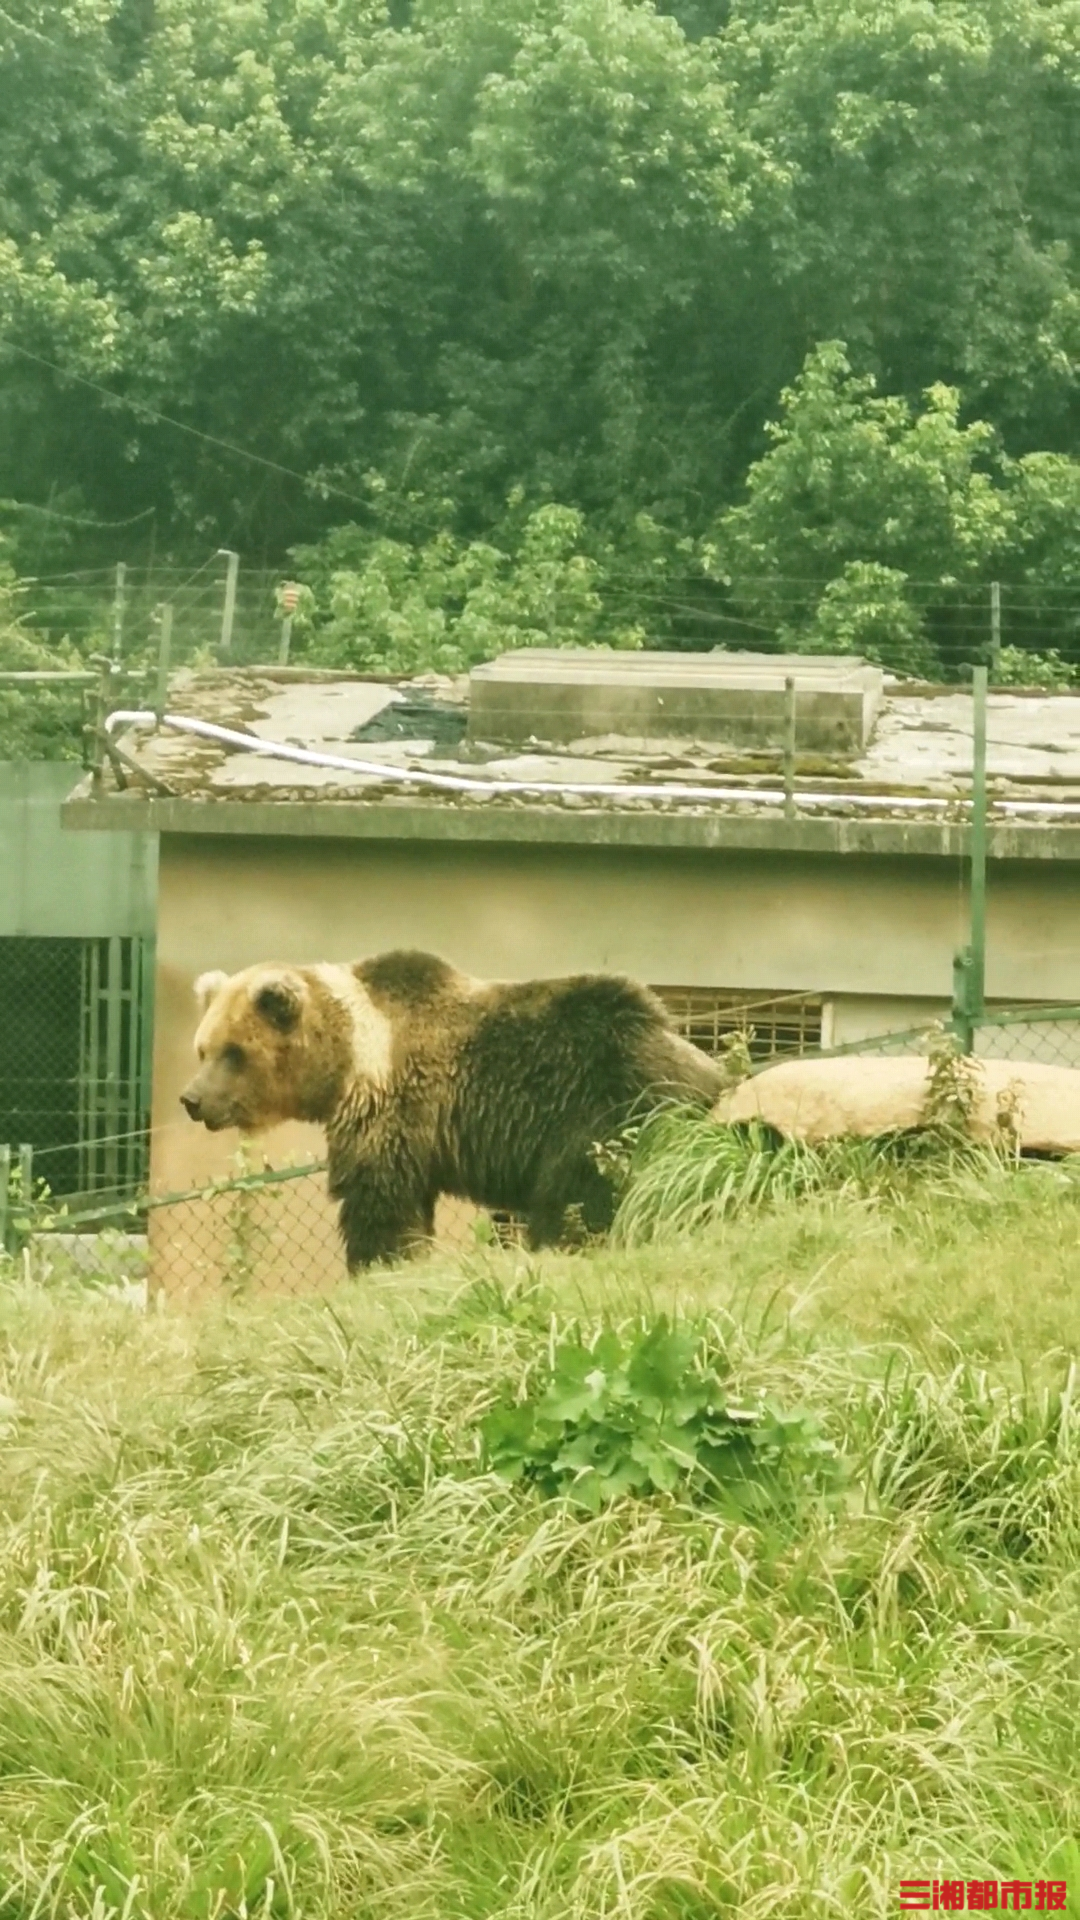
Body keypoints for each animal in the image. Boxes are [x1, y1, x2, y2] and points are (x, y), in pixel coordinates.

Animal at [180, 948, 718, 1274]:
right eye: (203, 1049)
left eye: (234, 1052)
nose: (192, 1100)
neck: (347, 1057)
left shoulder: (390, 1106)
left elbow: (379, 1198)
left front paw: (376, 1262)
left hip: (603, 1107)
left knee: (580, 1197)